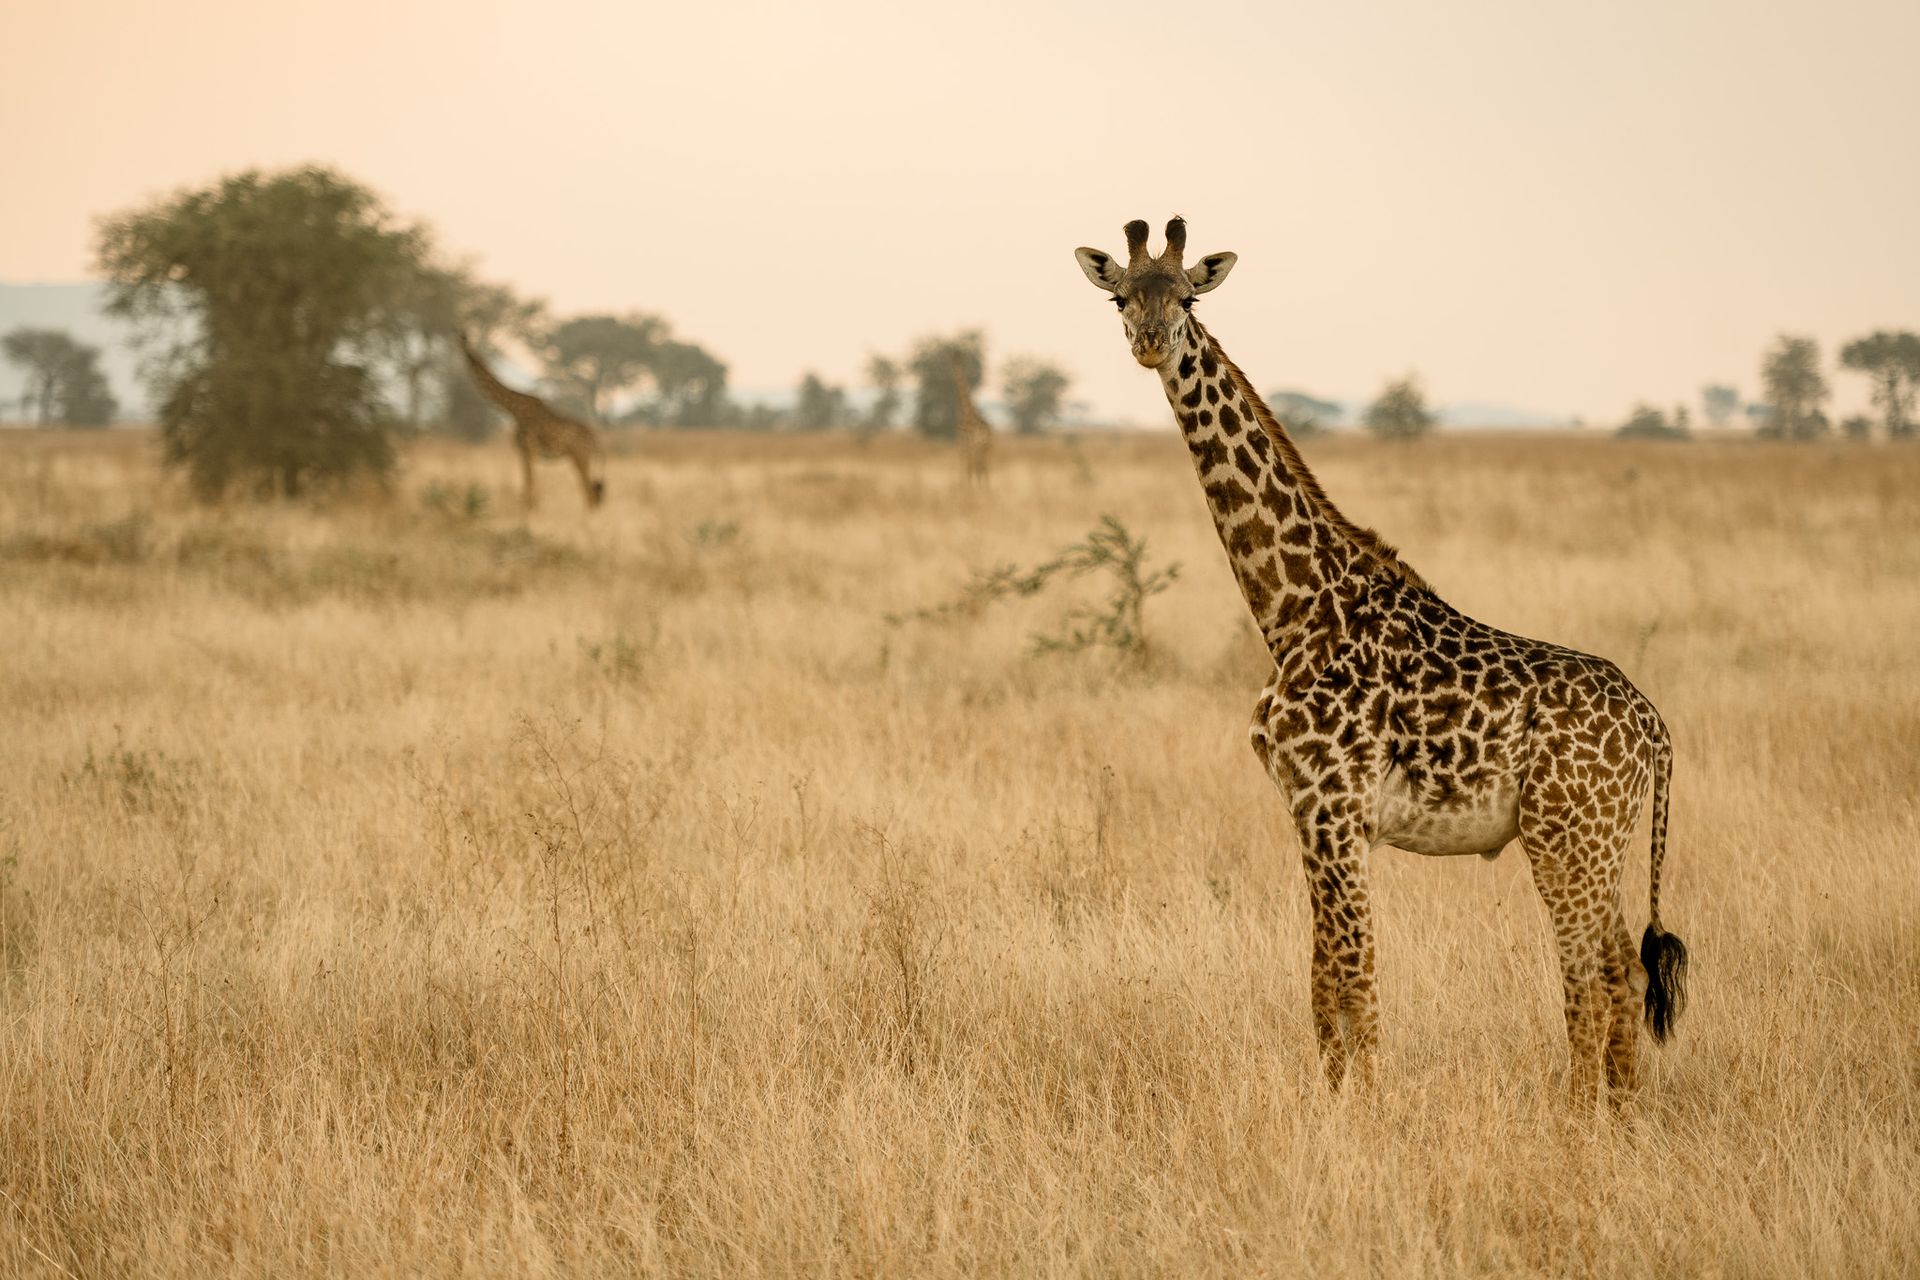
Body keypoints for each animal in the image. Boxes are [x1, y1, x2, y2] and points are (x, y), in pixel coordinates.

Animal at [460, 337, 607, 511]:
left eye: (469, 356)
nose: (463, 347)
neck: (513, 409)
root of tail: (595, 440)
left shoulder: (530, 449)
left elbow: (530, 487)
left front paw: (529, 515)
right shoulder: (523, 451)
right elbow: (527, 487)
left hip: (580, 456)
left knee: (589, 494)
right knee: (591, 492)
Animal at [951, 352, 993, 487]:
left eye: (957, 362)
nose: (954, 370)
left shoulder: (965, 443)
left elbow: (969, 467)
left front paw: (967, 487)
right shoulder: (966, 444)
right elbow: (970, 467)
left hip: (979, 447)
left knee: (978, 466)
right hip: (984, 447)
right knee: (982, 467)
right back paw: (984, 487)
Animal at [1073, 218, 1689, 1108]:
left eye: (1187, 298)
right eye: (1121, 298)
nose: (1152, 343)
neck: (1294, 606)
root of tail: (1655, 729)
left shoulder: (1333, 807)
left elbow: (1355, 979)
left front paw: (1361, 1111)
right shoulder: (1311, 812)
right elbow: (1324, 979)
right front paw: (1337, 1102)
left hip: (1567, 836)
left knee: (1591, 978)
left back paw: (1580, 1120)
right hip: (1602, 841)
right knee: (1619, 970)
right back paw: (1623, 1115)